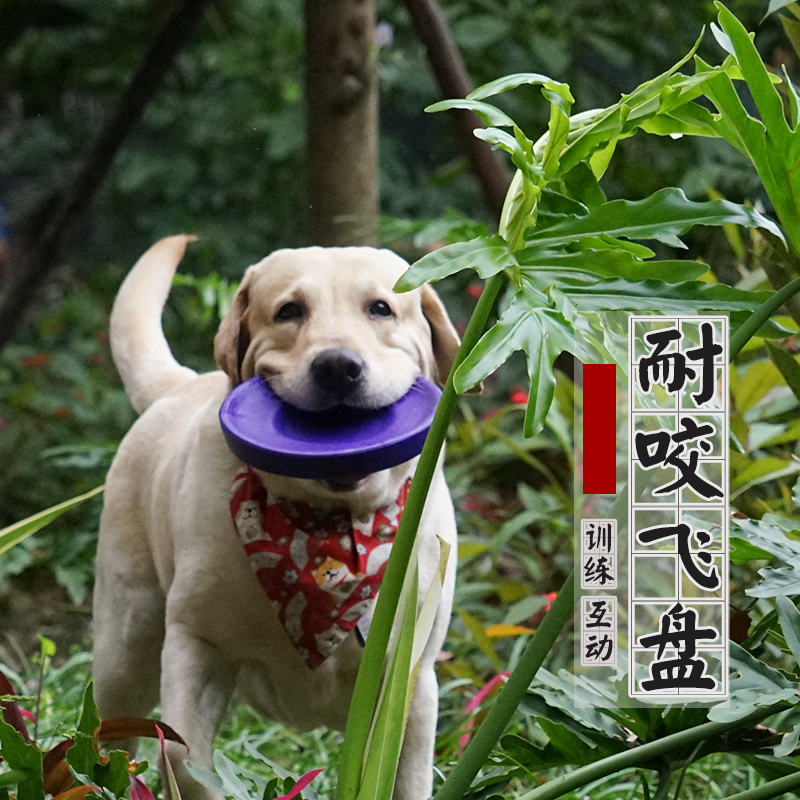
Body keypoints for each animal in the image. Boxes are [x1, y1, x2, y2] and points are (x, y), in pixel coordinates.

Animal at [90, 238, 460, 800]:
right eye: (289, 311)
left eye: (380, 308)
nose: (337, 365)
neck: (323, 526)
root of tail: (180, 385)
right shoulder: (197, 642)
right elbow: (182, 757)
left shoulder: (407, 684)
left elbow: (400, 770)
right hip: (124, 645)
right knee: (115, 730)